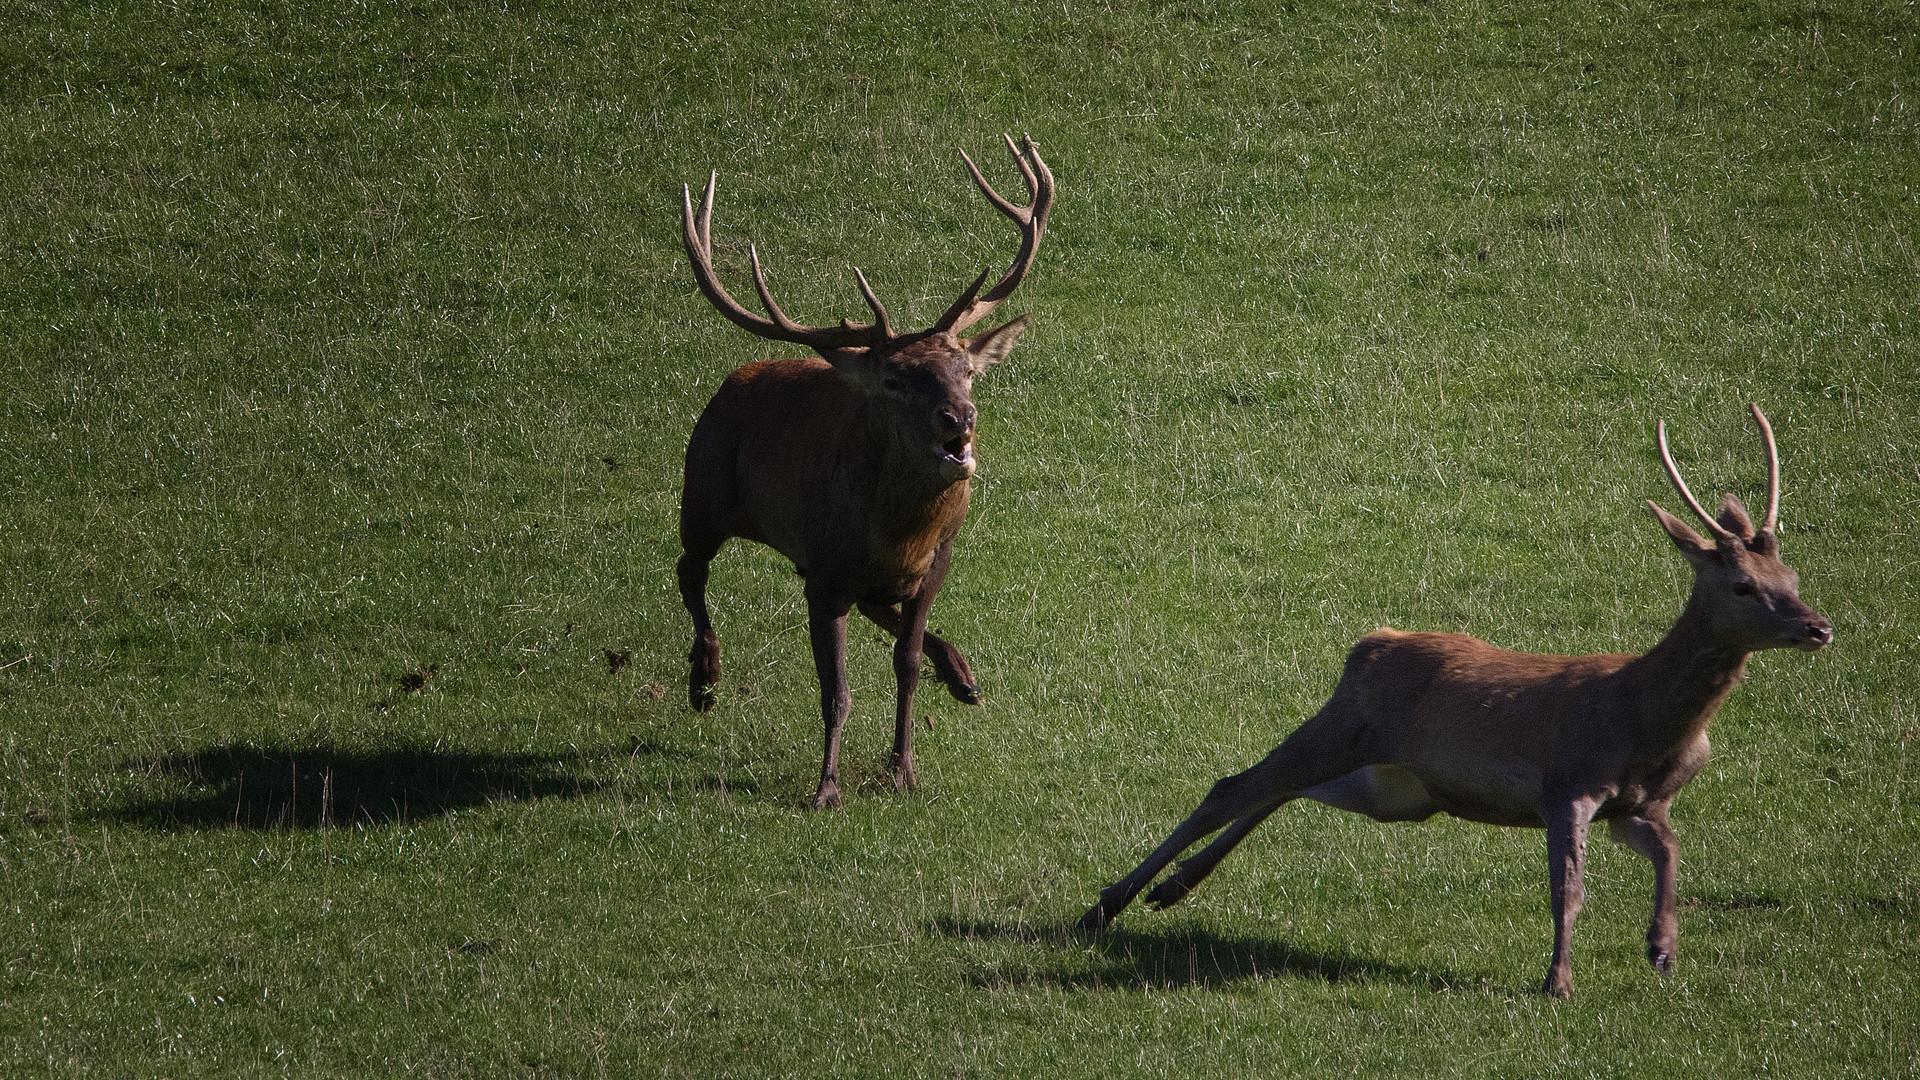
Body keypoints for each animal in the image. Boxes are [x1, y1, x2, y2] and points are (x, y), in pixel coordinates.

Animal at [683, 134, 1059, 803]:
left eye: (966, 369)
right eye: (894, 380)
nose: (959, 417)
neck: (898, 536)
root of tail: (732, 381)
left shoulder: (936, 559)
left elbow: (903, 665)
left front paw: (904, 767)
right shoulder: (824, 573)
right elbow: (836, 691)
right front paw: (826, 787)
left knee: (878, 610)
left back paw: (961, 674)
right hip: (702, 490)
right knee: (688, 570)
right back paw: (704, 676)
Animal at [1082, 403, 1827, 991]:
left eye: (1790, 575)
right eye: (1743, 585)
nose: (1819, 625)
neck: (1644, 723)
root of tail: (1369, 642)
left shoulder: (1638, 804)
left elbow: (1671, 852)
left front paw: (1662, 949)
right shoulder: (1568, 781)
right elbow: (1569, 889)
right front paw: (1558, 980)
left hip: (1399, 789)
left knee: (1277, 790)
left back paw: (1170, 890)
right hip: (1347, 727)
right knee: (1232, 786)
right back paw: (1105, 906)